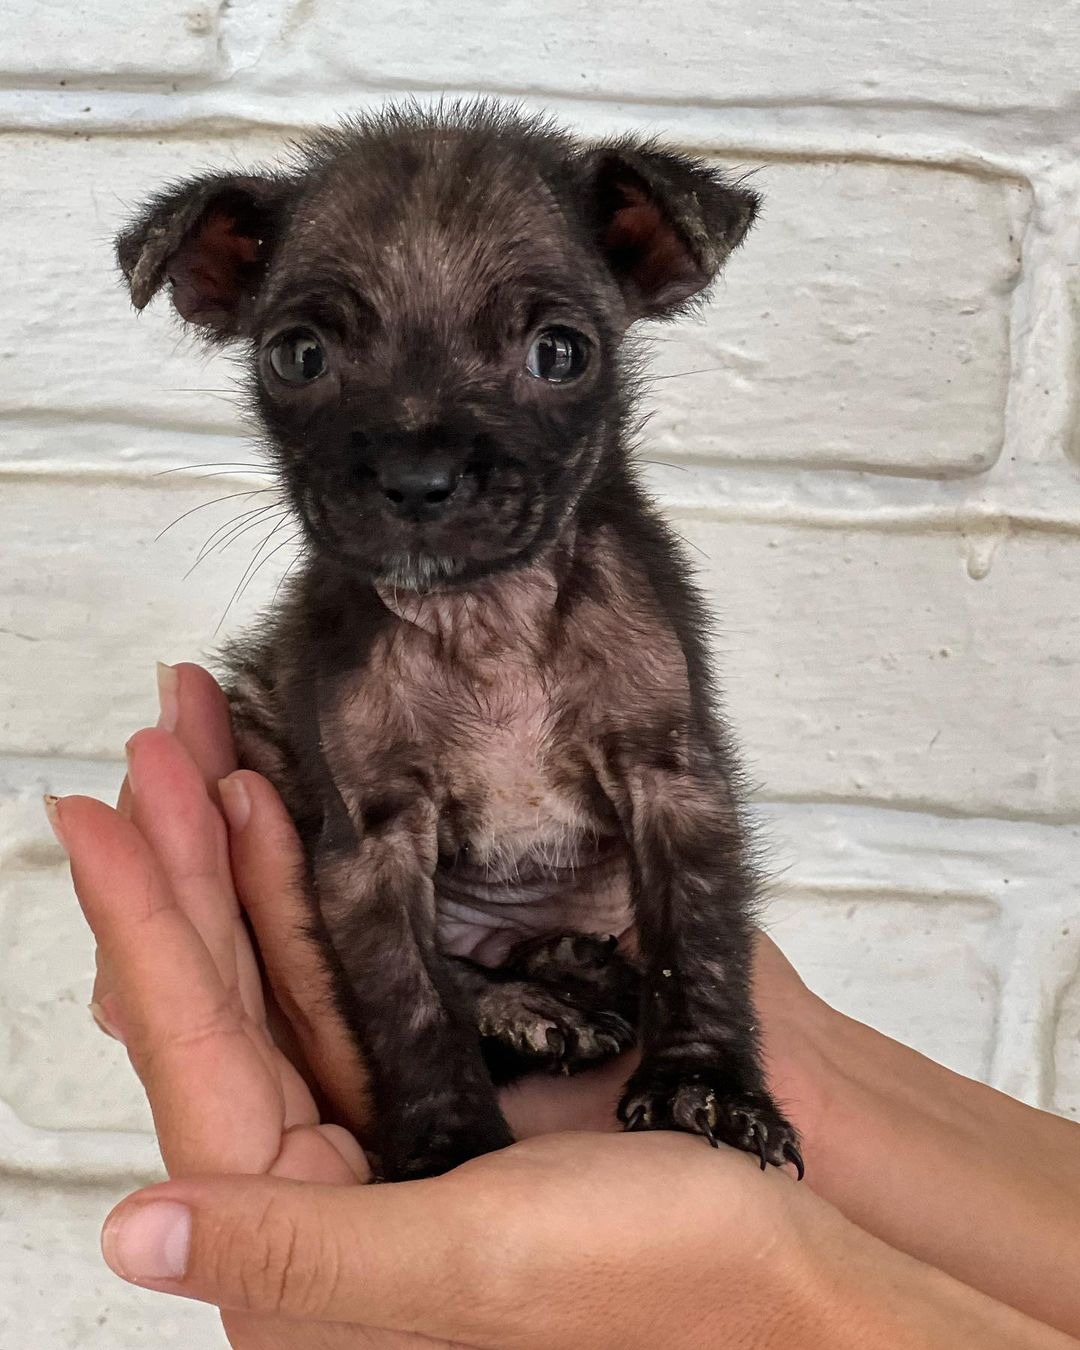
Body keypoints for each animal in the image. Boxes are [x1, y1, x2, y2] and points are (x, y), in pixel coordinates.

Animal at [116, 102, 799, 1182]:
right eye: (297, 356)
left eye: (561, 353)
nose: (416, 475)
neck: (485, 617)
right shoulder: (372, 844)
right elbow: (411, 1000)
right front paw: (446, 1144)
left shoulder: (674, 783)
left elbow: (697, 939)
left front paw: (706, 1087)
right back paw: (529, 1001)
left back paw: (570, 967)